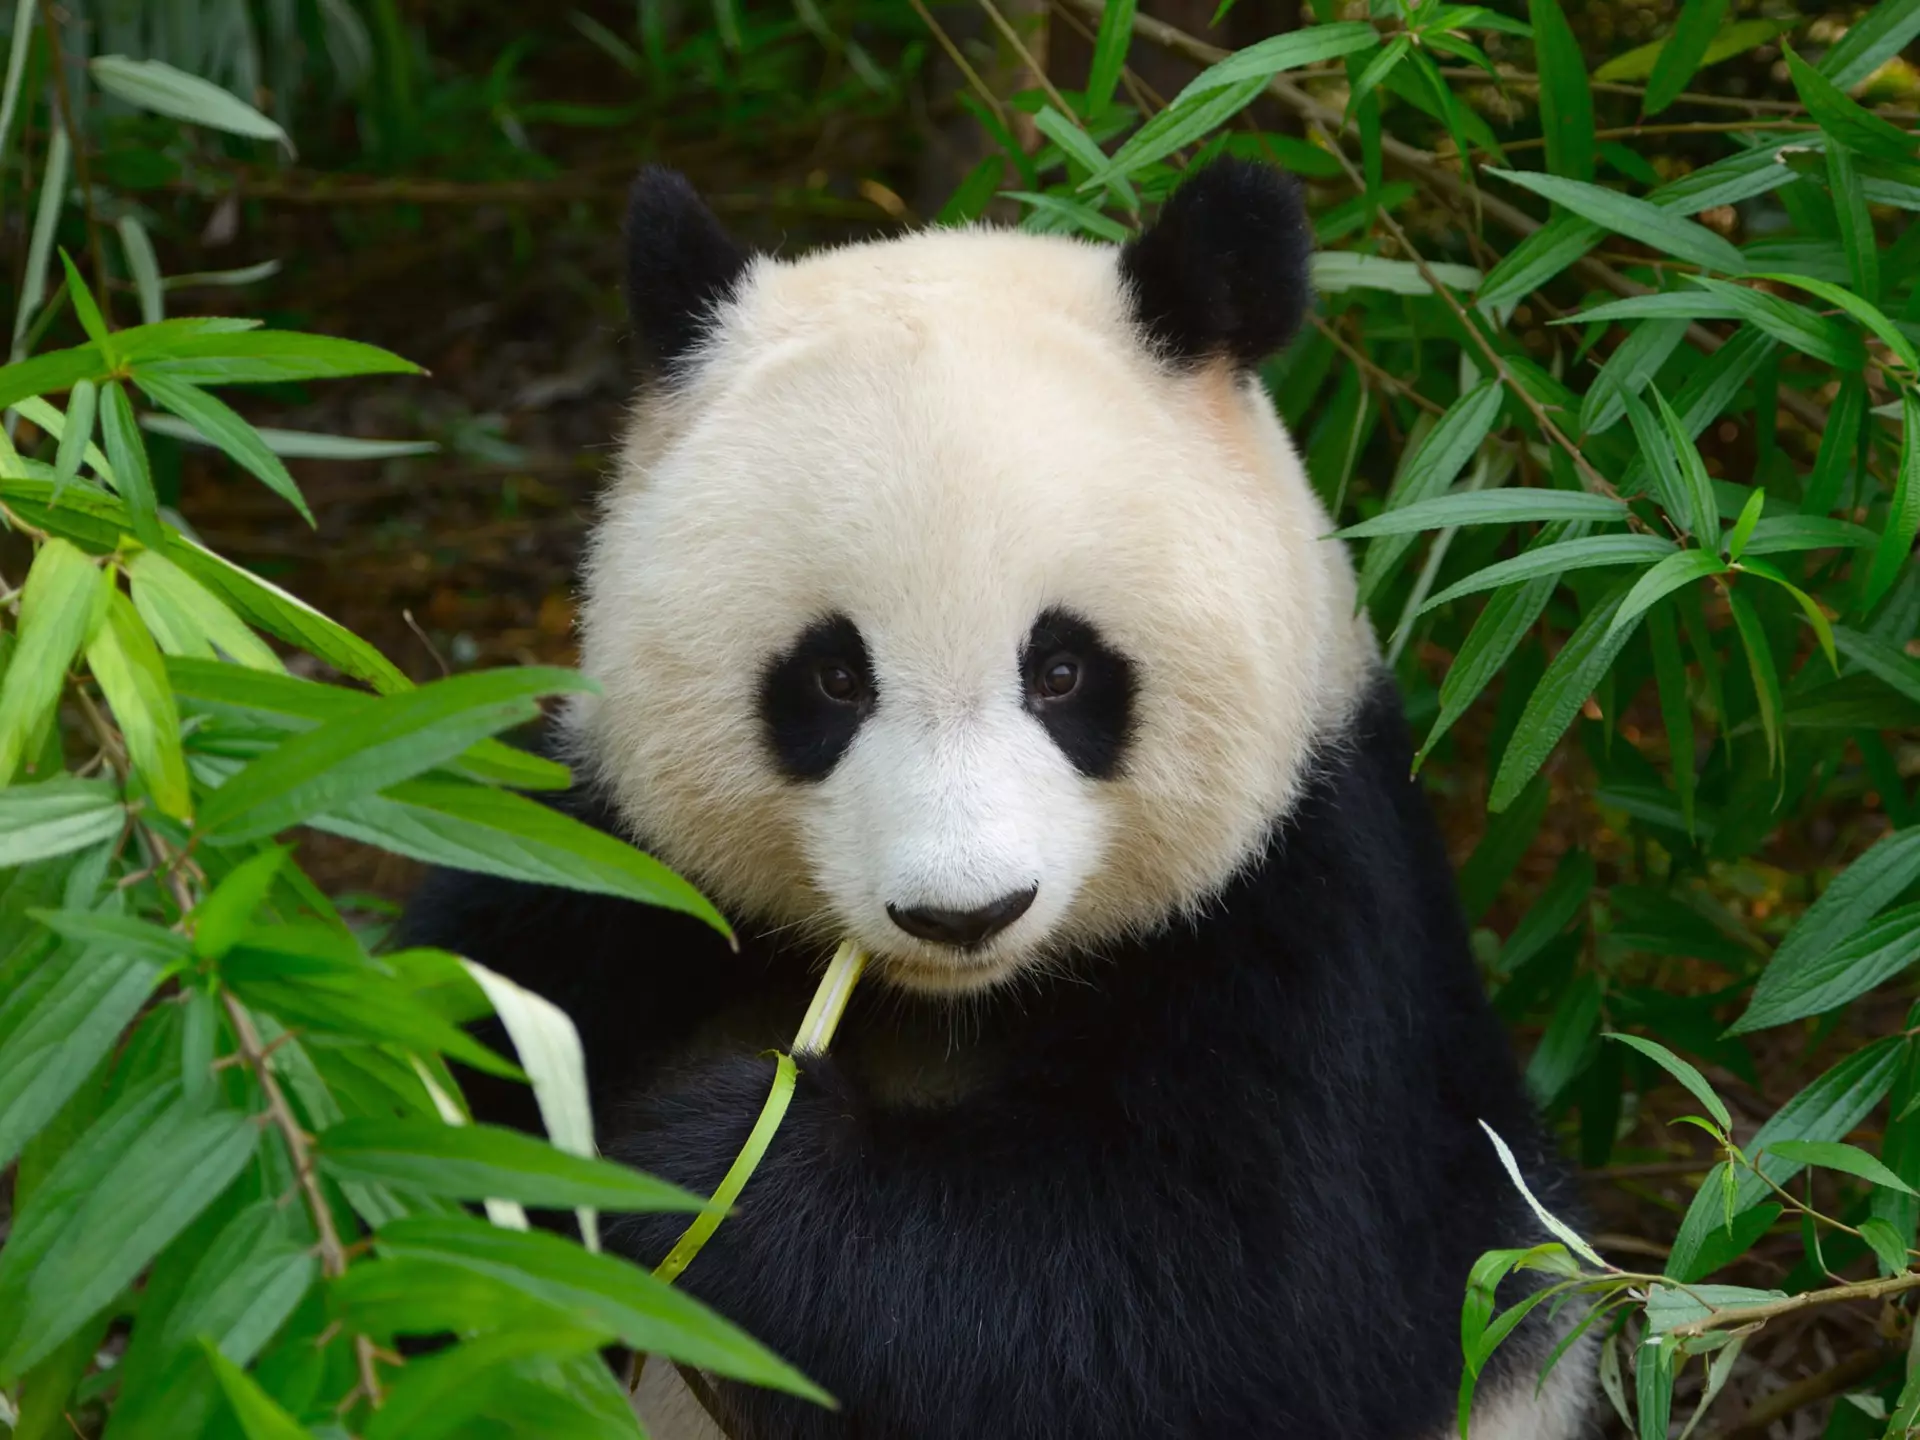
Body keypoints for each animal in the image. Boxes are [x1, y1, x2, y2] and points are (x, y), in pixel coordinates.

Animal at [397, 158, 1593, 1440]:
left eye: (1062, 671)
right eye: (832, 678)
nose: (963, 912)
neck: (952, 1005)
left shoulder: (1311, 922)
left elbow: (1210, 1302)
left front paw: (713, 1160)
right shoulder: (609, 866)